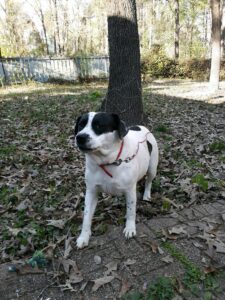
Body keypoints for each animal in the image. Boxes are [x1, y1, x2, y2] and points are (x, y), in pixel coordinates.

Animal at [74, 112, 158, 248]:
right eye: (81, 125)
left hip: (152, 167)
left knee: (149, 181)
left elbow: (131, 210)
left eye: (99, 126)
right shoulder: (91, 191)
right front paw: (84, 236)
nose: (80, 137)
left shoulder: (130, 190)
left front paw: (130, 228)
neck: (108, 161)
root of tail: (141, 127)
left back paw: (146, 194)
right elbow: (86, 216)